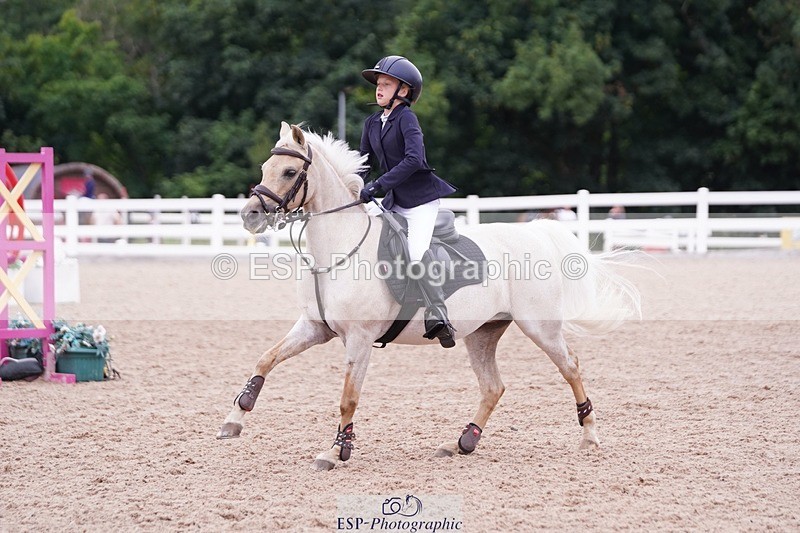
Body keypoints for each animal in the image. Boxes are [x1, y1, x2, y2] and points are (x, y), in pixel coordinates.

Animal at [217, 122, 641, 471]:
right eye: (264, 170)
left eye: (290, 172)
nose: (250, 216)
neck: (338, 249)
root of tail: (535, 232)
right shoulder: (313, 328)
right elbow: (266, 359)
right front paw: (234, 420)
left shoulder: (359, 339)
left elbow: (348, 398)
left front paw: (335, 451)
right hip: (483, 333)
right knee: (493, 387)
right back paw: (462, 443)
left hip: (540, 327)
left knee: (571, 367)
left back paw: (589, 434)